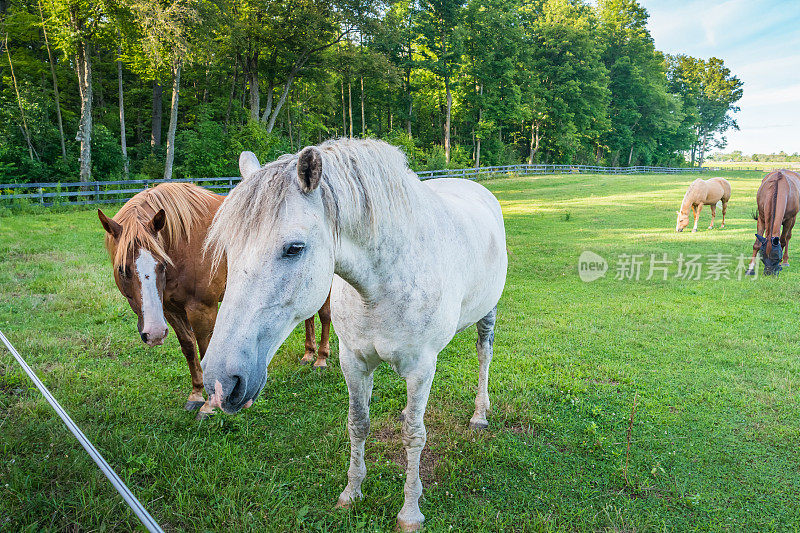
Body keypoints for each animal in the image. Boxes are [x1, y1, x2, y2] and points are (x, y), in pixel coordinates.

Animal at [99, 183, 332, 420]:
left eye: (162, 264)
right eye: (122, 270)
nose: (154, 333)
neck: (185, 242)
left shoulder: (202, 309)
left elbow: (204, 347)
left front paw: (209, 406)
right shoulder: (169, 309)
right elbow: (188, 347)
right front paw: (195, 394)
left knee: (325, 316)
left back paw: (320, 359)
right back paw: (308, 354)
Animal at [203, 139, 510, 528]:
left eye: (294, 248)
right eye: (229, 249)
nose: (219, 382)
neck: (383, 283)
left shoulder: (421, 367)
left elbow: (413, 434)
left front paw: (410, 513)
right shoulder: (353, 360)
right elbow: (358, 423)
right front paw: (351, 494)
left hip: (489, 311)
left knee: (484, 355)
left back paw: (480, 415)